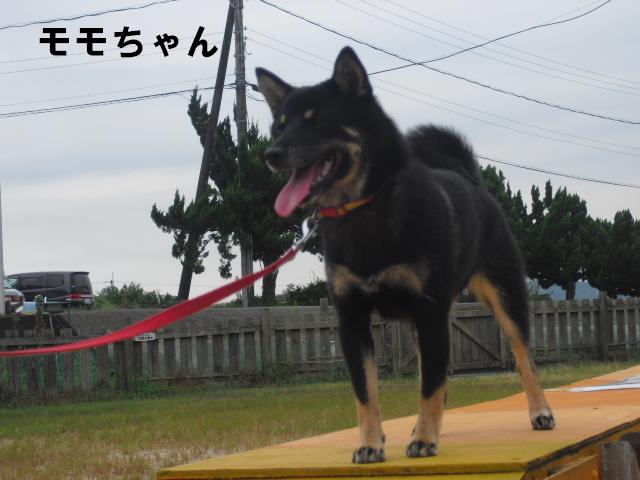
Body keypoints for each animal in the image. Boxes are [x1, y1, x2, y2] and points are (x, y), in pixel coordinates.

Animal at [256, 46, 555, 464]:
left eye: (318, 122)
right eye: (279, 127)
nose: (272, 153)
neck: (364, 209)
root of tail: (469, 178)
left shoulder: (429, 311)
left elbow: (429, 386)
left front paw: (425, 439)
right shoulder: (353, 319)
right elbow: (367, 393)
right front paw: (370, 443)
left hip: (504, 294)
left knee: (522, 356)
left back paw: (539, 411)